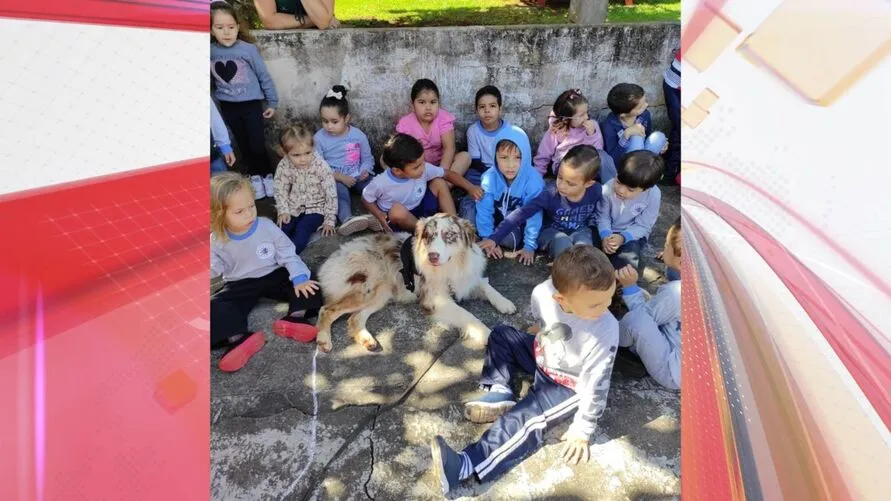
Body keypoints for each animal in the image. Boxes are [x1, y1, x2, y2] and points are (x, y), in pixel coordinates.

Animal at [316, 212, 516, 352]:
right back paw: (324, 340)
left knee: (354, 318)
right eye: (428, 236)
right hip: (366, 289)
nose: (433, 256)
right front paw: (489, 334)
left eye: (449, 235)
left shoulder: (468, 278)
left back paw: (368, 340)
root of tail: (334, 256)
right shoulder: (437, 300)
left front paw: (505, 303)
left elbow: (487, 287)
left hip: (381, 294)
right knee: (326, 309)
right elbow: (468, 316)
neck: (453, 265)